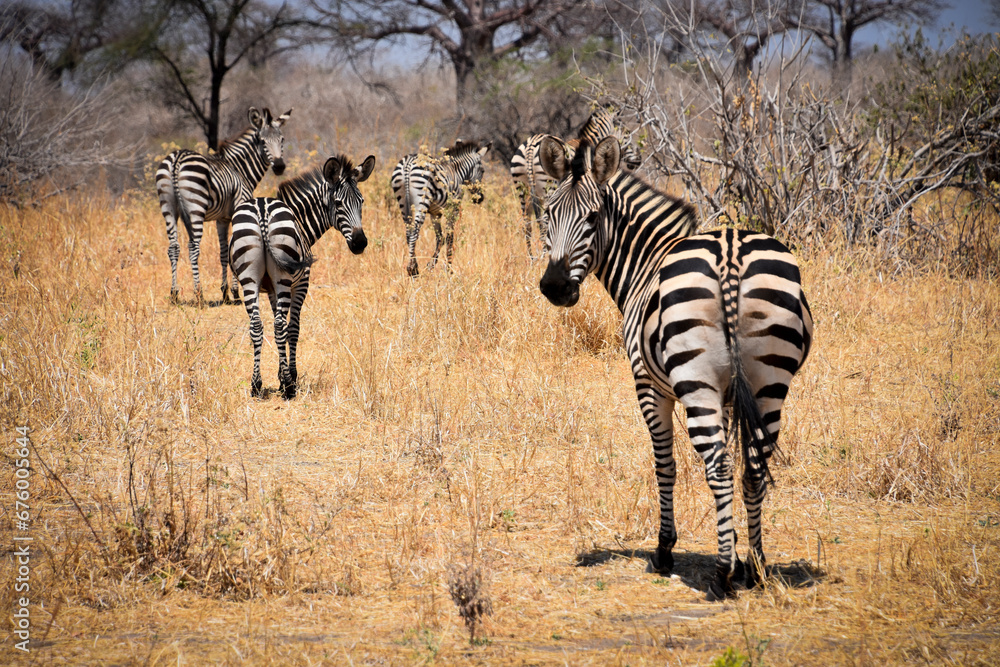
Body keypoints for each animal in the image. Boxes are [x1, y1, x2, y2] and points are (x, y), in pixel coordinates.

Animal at [156, 107, 292, 304]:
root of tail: (177, 159)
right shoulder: (238, 208)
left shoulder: (221, 219)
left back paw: (174, 294)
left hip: (168, 207)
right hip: (196, 208)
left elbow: (223, 253)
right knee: (193, 248)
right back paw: (199, 293)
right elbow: (235, 248)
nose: (280, 167)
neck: (240, 169)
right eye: (262, 141)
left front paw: (225, 292)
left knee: (173, 247)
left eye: (281, 139)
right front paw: (235, 292)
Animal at [229, 153, 375, 399]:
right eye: (338, 204)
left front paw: (281, 374)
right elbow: (293, 329)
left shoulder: (272, 290)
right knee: (280, 326)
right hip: (284, 277)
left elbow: (277, 323)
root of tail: (262, 211)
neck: (300, 219)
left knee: (257, 325)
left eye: (361, 202)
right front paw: (289, 377)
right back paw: (288, 388)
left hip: (249, 278)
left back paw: (256, 384)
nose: (360, 243)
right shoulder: (300, 284)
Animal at [391, 140, 492, 277]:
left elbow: (440, 238)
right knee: (415, 231)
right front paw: (449, 269)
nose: (479, 198)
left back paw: (415, 267)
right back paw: (412, 269)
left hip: (402, 201)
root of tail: (408, 163)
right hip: (421, 200)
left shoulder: (435, 213)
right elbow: (449, 237)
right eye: (482, 171)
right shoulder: (453, 209)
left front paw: (431, 265)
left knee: (408, 232)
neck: (458, 172)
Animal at [510, 108, 642, 258]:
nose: (639, 159)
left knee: (526, 223)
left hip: (522, 188)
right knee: (544, 220)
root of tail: (531, 145)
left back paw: (531, 258)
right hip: (548, 187)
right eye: (627, 134)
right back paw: (544, 255)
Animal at [536, 134, 813, 601]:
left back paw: (722, 576)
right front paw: (737, 551)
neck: (647, 261)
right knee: (753, 466)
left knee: (717, 465)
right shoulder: (728, 393)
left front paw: (665, 550)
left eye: (592, 217)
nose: (554, 288)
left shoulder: (649, 385)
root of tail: (730, 253)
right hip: (768, 380)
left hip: (694, 378)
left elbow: (664, 464)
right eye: (548, 216)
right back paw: (755, 568)